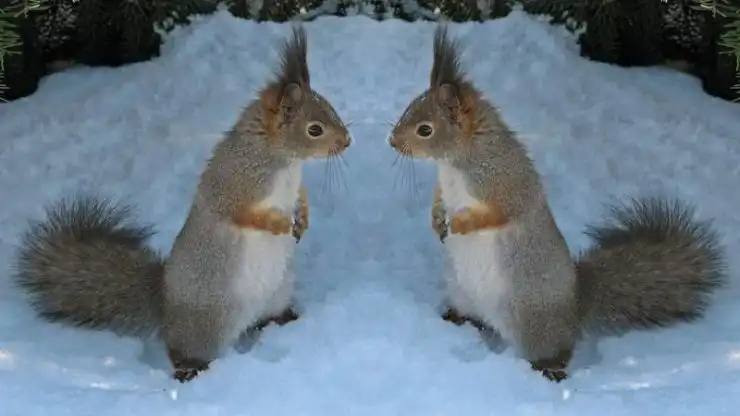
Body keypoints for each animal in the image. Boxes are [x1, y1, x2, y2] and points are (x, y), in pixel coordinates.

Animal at [12, 26, 351, 383]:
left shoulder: (292, 185)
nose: (347, 141)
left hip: (277, 294)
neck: (283, 160)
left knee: (269, 317)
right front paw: (280, 224)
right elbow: (244, 215)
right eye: (315, 129)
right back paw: (192, 369)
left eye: (331, 108)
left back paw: (291, 320)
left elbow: (302, 196)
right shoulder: (231, 186)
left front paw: (303, 217)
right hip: (207, 325)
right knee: (182, 350)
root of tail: (165, 304)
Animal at [388, 26, 727, 383]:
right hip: (463, 295)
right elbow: (438, 199)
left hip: (533, 324)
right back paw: (451, 320)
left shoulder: (507, 184)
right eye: (409, 109)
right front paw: (437, 218)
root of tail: (576, 305)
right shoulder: (446, 185)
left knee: (557, 351)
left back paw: (549, 370)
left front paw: (459, 223)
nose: (392, 140)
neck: (457, 161)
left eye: (425, 130)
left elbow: (498, 214)